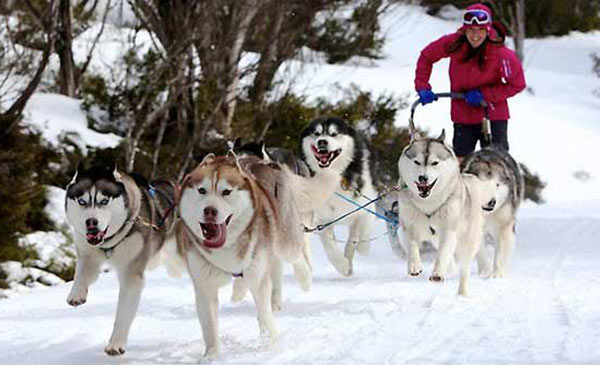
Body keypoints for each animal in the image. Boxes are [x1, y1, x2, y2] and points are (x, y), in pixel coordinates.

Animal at [64, 164, 175, 354]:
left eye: (103, 201)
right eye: (82, 202)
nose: (91, 222)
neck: (109, 242)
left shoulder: (131, 272)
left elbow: (123, 312)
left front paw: (116, 343)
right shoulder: (87, 251)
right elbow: (82, 271)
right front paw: (76, 293)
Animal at [175, 152, 310, 356]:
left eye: (226, 192)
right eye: (202, 190)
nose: (209, 211)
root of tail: (266, 162)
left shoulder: (257, 275)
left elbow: (263, 313)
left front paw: (271, 340)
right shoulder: (205, 285)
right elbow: (209, 326)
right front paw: (212, 355)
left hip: (284, 238)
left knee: (295, 254)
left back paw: (304, 279)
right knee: (275, 270)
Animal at [396, 129, 494, 294]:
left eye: (434, 163)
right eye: (417, 162)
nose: (423, 178)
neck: (428, 204)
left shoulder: (448, 230)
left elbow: (442, 255)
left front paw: (437, 273)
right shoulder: (407, 228)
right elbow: (412, 246)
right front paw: (414, 265)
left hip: (466, 243)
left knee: (464, 268)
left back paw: (462, 292)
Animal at [462, 146, 524, 278]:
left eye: (497, 185)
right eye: (482, 185)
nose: (492, 202)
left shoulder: (504, 225)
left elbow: (500, 252)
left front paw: (497, 273)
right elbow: (480, 251)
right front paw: (485, 270)